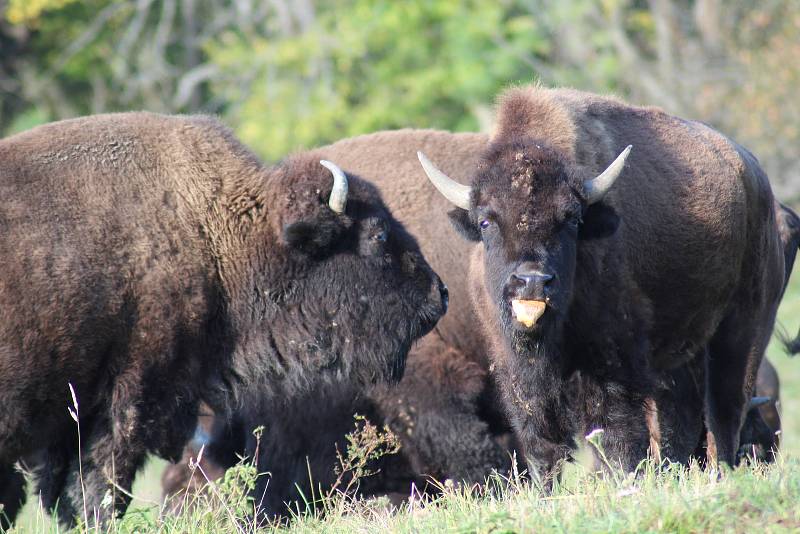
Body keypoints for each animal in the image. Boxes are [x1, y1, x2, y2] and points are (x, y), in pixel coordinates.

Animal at [416, 87, 784, 482]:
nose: (532, 282)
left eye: (572, 219)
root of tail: (757, 180)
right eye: (486, 222)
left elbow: (614, 434)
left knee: (725, 411)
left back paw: (721, 473)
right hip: (681, 351)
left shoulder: (613, 363)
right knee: (685, 417)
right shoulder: (516, 369)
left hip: (744, 328)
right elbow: (541, 444)